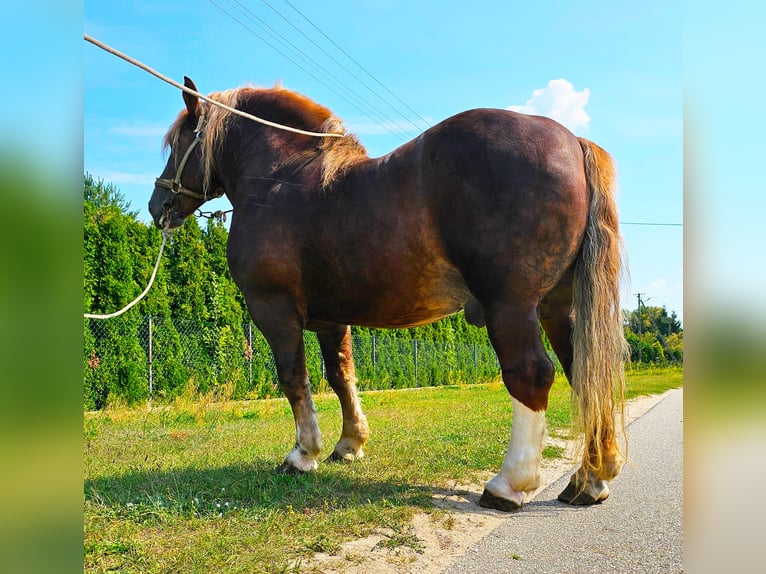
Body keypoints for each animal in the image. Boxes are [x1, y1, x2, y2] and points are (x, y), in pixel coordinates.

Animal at [147, 76, 628, 512]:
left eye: (179, 141)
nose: (157, 206)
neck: (280, 180)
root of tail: (572, 142)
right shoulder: (329, 319)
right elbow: (340, 376)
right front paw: (350, 443)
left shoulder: (274, 309)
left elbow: (293, 379)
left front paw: (303, 454)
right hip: (558, 308)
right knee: (582, 370)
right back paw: (590, 479)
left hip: (510, 306)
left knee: (531, 374)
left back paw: (509, 484)